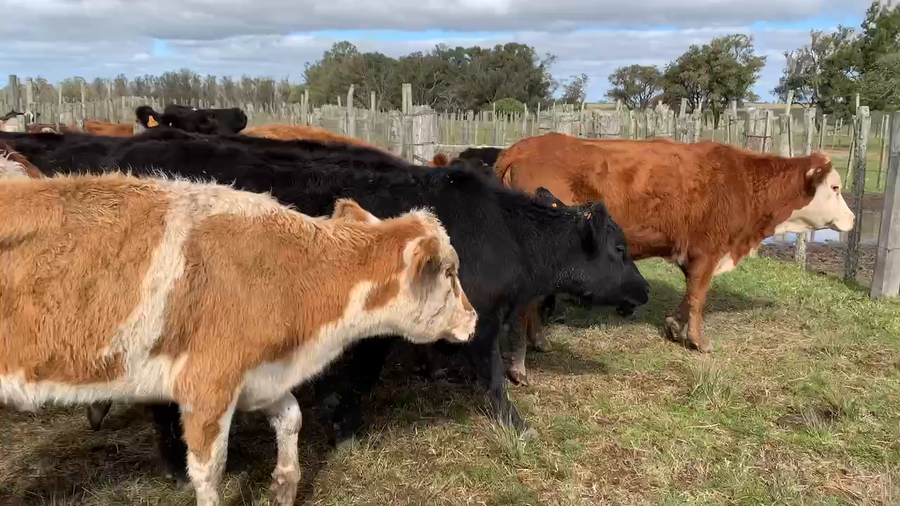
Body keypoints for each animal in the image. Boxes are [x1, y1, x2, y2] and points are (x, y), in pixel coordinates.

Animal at [0, 169, 477, 506]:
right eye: (451, 272)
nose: (472, 319)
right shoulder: (207, 386)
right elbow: (210, 472)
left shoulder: (260, 375)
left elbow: (292, 418)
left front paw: (283, 487)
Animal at [2, 129, 649, 456]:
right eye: (619, 249)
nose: (644, 290)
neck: (498, 228)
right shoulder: (466, 324)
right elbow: (485, 378)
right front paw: (517, 426)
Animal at [495, 132, 856, 352]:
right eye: (835, 187)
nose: (853, 220)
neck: (739, 179)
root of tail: (523, 146)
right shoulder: (708, 251)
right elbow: (698, 297)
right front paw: (697, 340)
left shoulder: (692, 254)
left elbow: (689, 295)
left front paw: (673, 326)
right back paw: (537, 342)